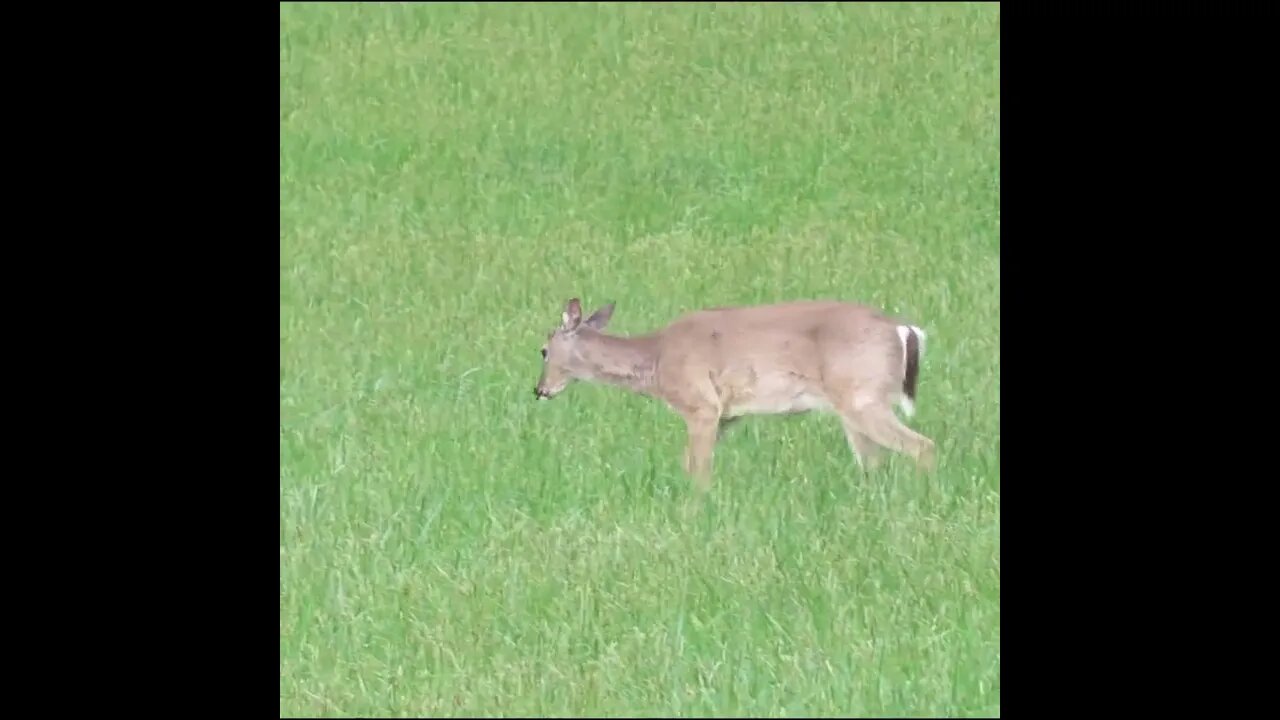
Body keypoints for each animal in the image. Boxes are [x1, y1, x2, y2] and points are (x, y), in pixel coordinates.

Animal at [535, 295, 936, 486]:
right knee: (874, 462)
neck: (657, 360)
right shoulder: (727, 415)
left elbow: (698, 468)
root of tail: (905, 330)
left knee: (922, 446)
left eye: (542, 350)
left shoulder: (701, 405)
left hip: (863, 397)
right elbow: (690, 463)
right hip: (854, 406)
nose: (540, 390)